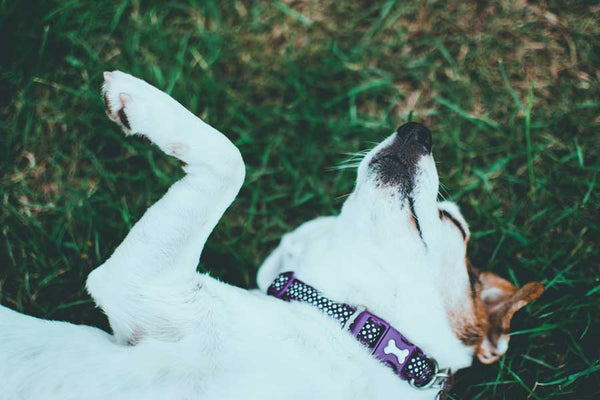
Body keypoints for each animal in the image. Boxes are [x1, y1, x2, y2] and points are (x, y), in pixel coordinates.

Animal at [0, 72, 544, 400]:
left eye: (454, 223)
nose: (417, 130)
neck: (349, 328)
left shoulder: (142, 286)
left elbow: (230, 160)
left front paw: (141, 101)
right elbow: (232, 157)